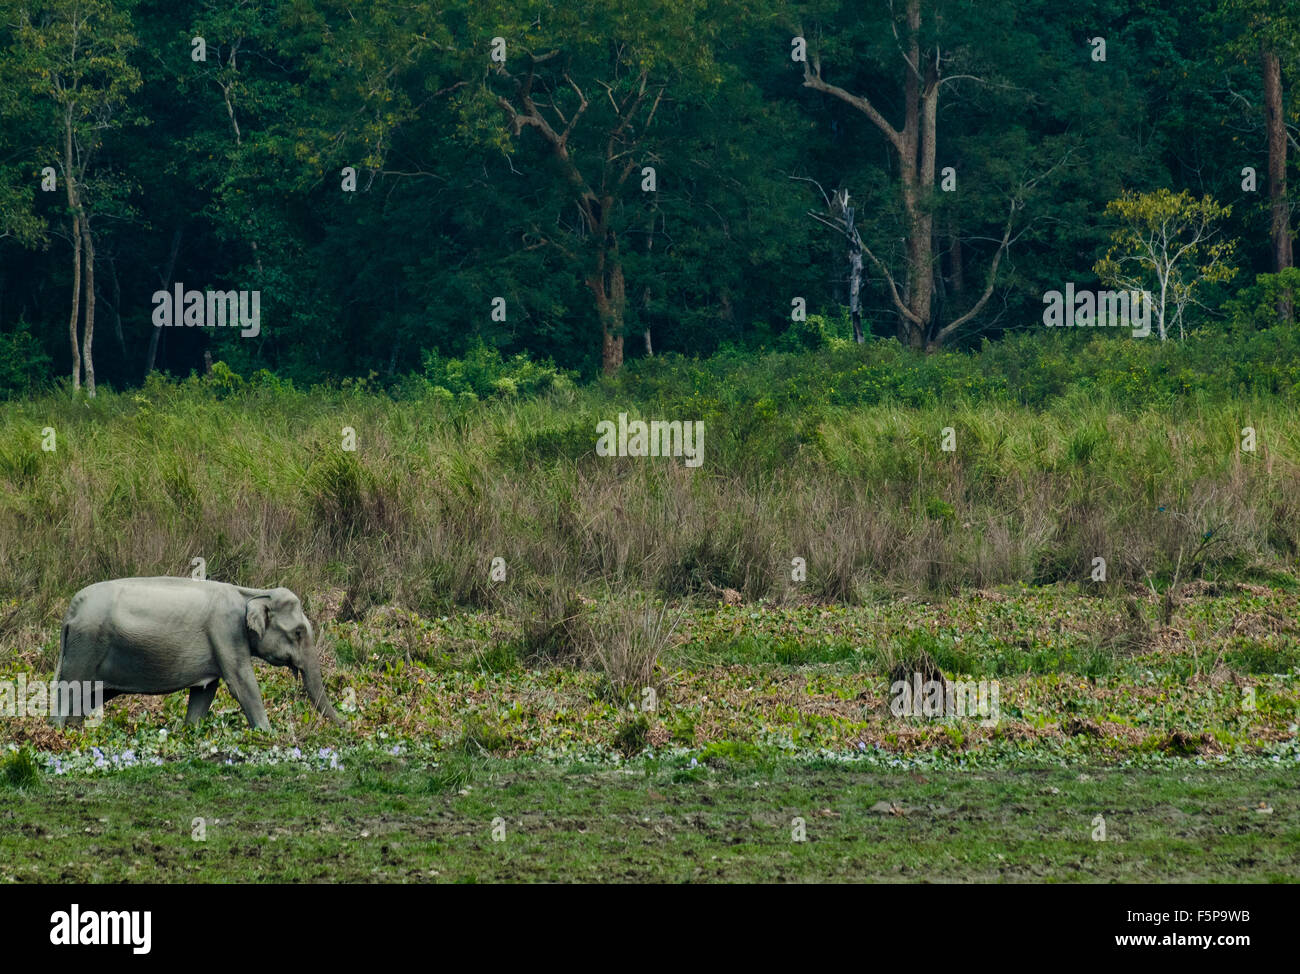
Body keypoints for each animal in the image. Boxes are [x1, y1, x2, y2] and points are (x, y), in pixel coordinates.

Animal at [53, 574, 343, 728]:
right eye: (298, 632)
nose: (346, 726)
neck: (253, 593)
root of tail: (72, 609)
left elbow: (205, 693)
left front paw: (190, 730)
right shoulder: (225, 631)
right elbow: (242, 683)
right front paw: (267, 732)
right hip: (86, 644)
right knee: (69, 689)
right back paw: (59, 732)